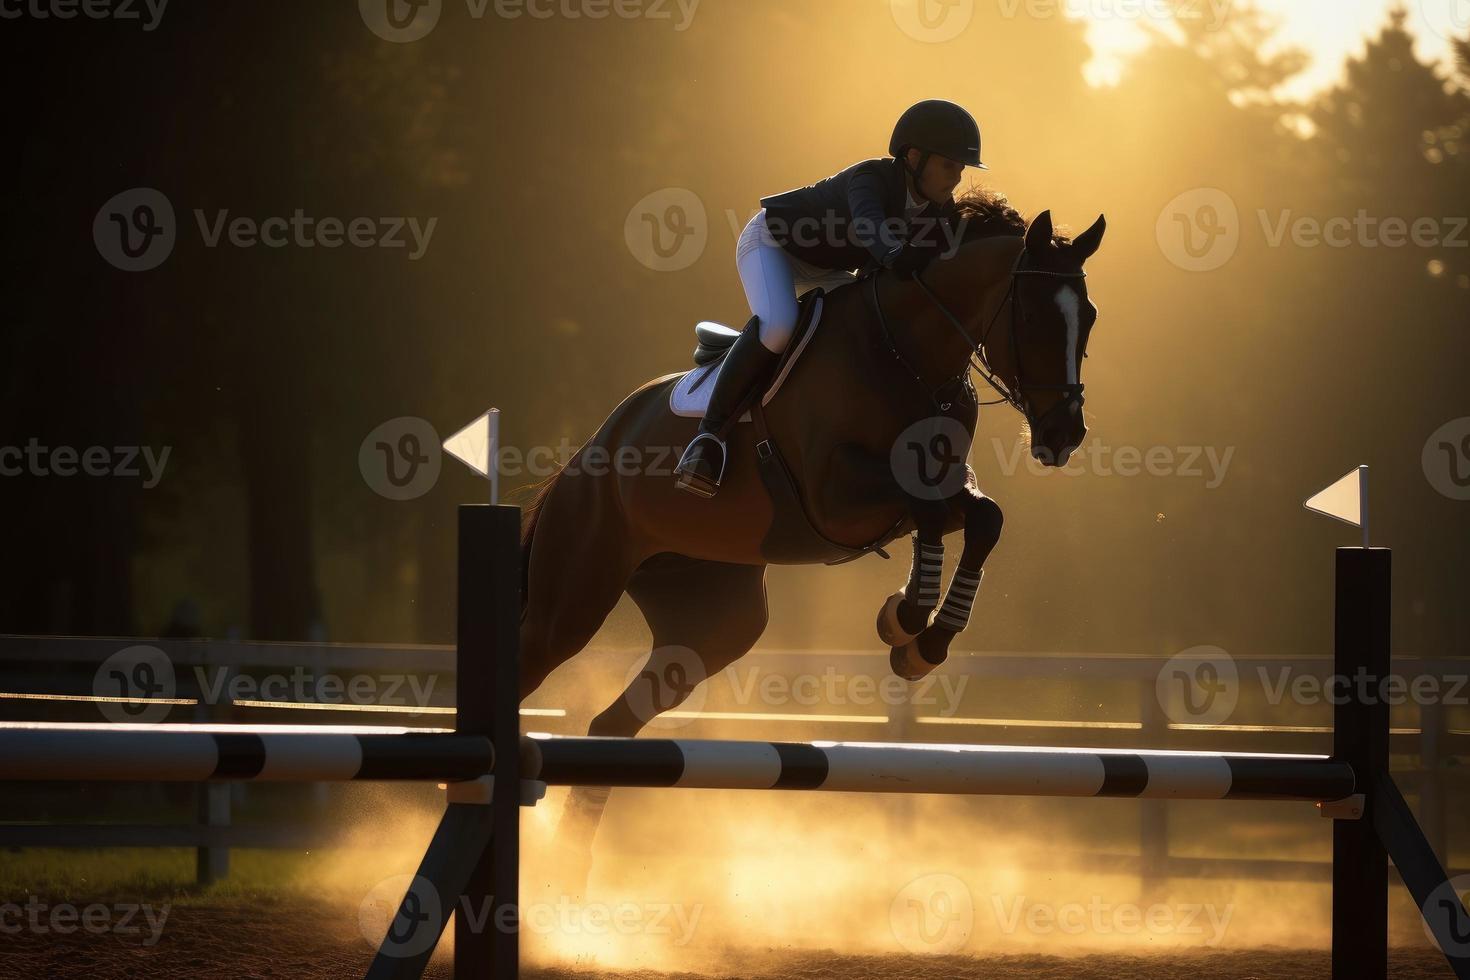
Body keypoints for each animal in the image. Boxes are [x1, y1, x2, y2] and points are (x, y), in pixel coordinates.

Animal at [517, 193, 1105, 887]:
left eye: (1089, 317)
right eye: (1035, 316)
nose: (1064, 434)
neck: (909, 352)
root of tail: (587, 452)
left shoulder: (934, 484)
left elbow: (981, 518)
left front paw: (923, 641)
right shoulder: (836, 496)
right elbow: (930, 510)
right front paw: (907, 618)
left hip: (716, 623)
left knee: (612, 724)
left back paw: (569, 875)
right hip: (571, 599)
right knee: (537, 659)